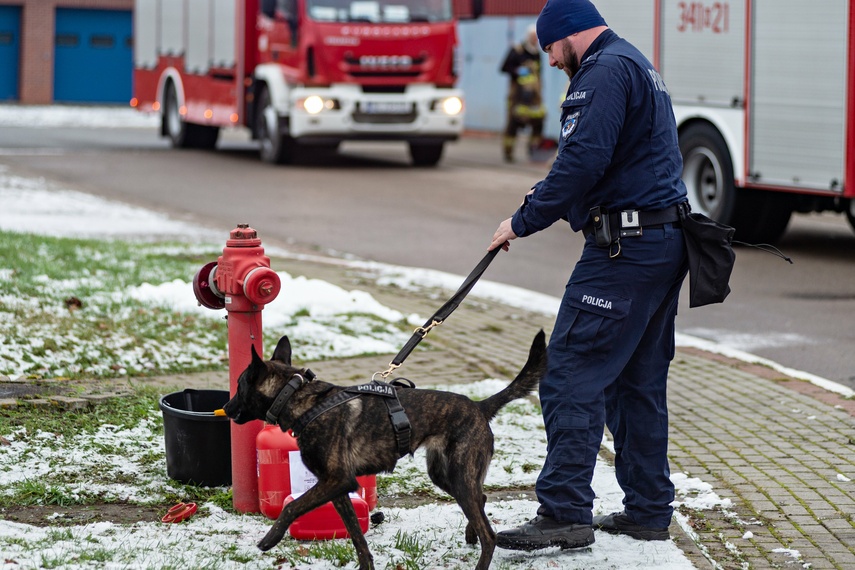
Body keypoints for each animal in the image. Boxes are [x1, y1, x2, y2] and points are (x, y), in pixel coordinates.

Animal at [224, 328, 544, 568]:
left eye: (240, 385)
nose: (226, 408)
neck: (300, 399)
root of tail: (479, 406)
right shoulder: (337, 488)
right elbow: (357, 537)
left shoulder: (337, 480)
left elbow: (291, 506)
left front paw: (270, 539)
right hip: (446, 475)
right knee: (482, 499)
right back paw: (470, 534)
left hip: (459, 477)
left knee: (489, 533)